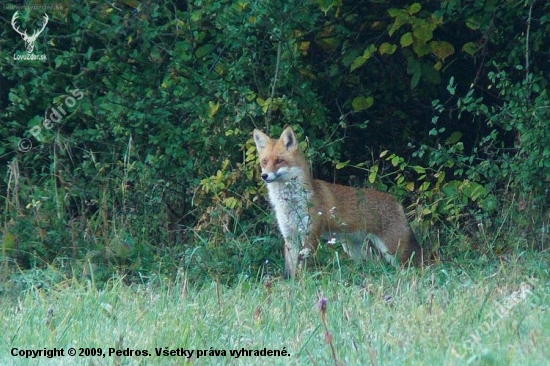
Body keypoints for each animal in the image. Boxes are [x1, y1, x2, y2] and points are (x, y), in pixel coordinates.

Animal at [254, 127, 426, 278]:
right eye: (264, 161)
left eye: (279, 161)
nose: (264, 176)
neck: (291, 202)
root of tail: (395, 201)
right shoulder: (290, 237)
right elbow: (289, 272)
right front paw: (292, 285)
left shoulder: (310, 235)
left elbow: (303, 268)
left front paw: (303, 283)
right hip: (354, 249)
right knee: (375, 266)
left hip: (395, 252)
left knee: (413, 268)